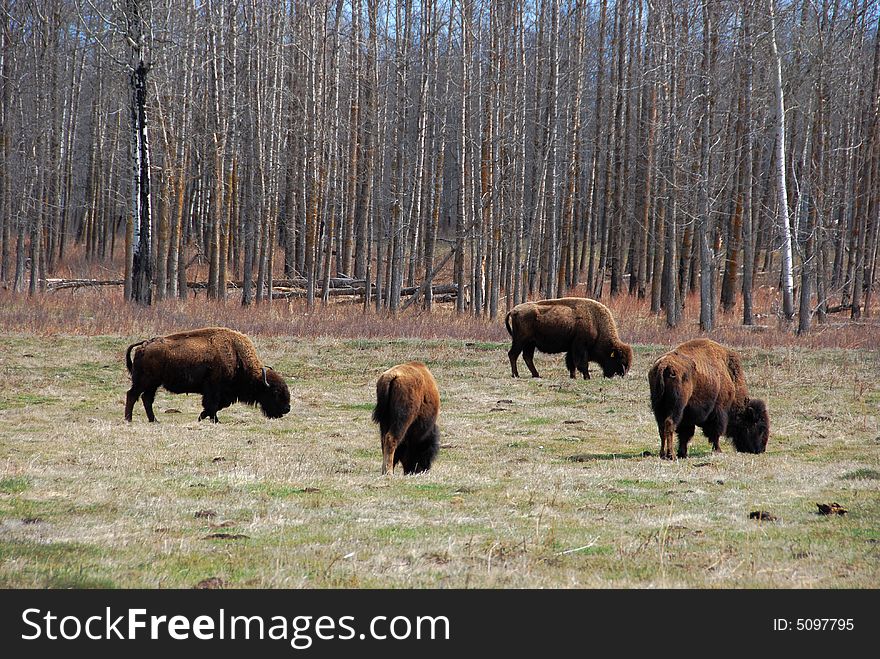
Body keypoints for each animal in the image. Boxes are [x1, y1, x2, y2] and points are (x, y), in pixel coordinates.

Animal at [124, 328, 290, 426]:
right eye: (275, 392)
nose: (287, 409)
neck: (236, 355)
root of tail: (144, 345)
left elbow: (215, 406)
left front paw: (203, 417)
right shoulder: (214, 389)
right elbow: (212, 405)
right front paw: (214, 420)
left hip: (153, 384)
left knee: (146, 398)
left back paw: (154, 420)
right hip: (145, 381)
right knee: (132, 395)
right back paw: (129, 419)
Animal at [502, 296, 632, 378]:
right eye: (619, 360)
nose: (620, 375)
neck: (596, 323)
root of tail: (513, 310)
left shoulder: (572, 348)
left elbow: (571, 363)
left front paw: (573, 377)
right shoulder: (580, 347)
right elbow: (582, 363)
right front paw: (587, 377)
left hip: (530, 343)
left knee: (527, 357)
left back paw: (536, 375)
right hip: (520, 341)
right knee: (513, 354)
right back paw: (516, 375)